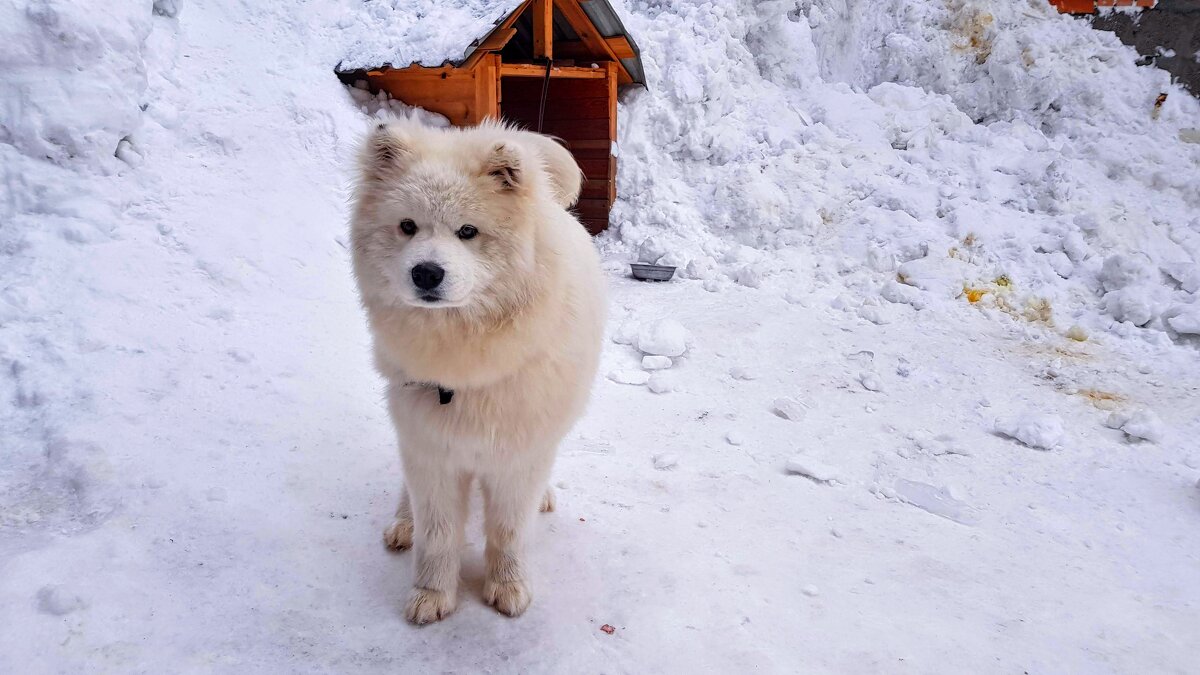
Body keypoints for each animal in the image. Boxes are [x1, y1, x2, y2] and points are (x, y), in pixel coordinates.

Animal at [350, 119, 604, 619]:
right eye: (407, 226)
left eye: (468, 231)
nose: (426, 273)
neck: (465, 363)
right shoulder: (432, 448)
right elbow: (438, 533)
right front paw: (432, 595)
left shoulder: (517, 456)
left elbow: (508, 531)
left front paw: (507, 587)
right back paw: (403, 524)